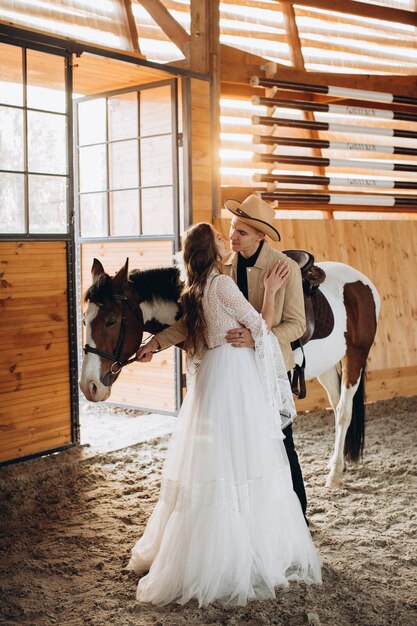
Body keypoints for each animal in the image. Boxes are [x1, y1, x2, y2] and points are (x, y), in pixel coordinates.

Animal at [79, 256, 380, 486]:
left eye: (111, 320)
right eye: (84, 319)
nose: (88, 386)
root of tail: (361, 282)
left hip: (356, 356)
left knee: (344, 411)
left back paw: (335, 474)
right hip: (326, 366)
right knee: (336, 407)